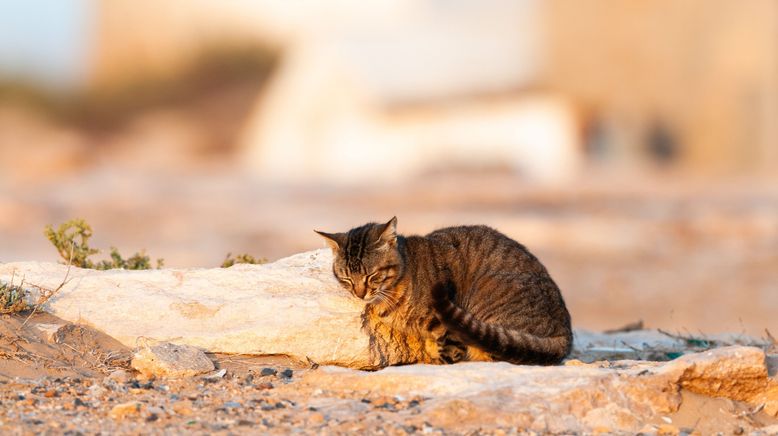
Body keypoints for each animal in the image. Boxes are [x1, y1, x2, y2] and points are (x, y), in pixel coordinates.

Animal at [314, 216, 568, 366]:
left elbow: (449, 354)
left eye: (372, 275)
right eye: (347, 278)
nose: (359, 294)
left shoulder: (449, 327)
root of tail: (565, 333)